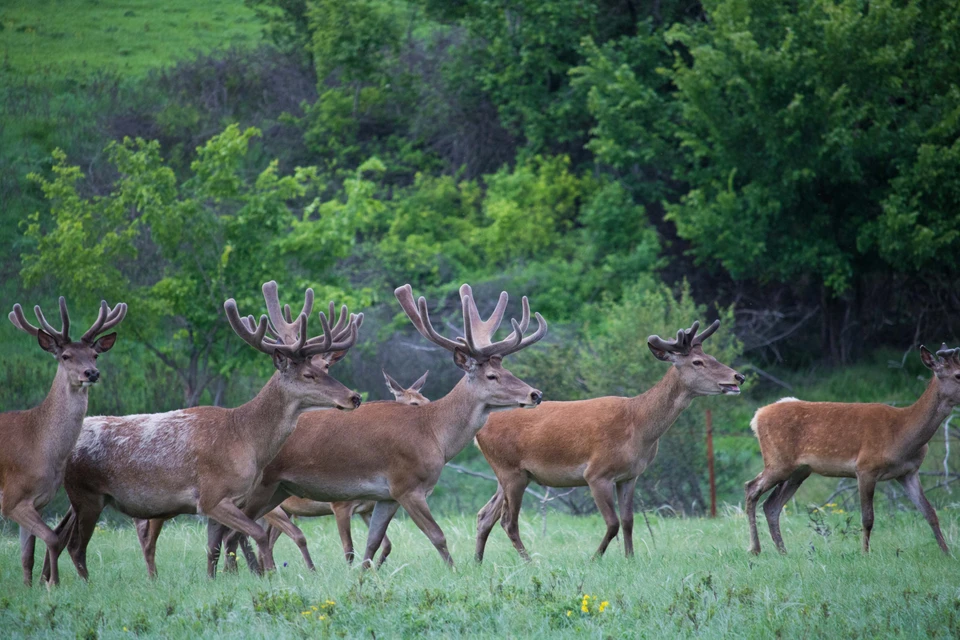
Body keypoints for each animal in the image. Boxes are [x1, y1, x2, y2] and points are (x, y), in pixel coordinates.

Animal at [0, 296, 126, 584]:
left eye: (94, 354)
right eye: (66, 356)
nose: (92, 373)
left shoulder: (37, 501)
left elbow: (27, 557)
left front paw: (31, 588)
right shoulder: (11, 497)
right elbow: (53, 538)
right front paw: (53, 584)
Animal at [41, 280, 366, 580]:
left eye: (326, 368)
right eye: (309, 374)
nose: (354, 397)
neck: (245, 438)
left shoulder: (227, 501)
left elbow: (213, 549)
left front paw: (213, 580)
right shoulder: (212, 495)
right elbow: (256, 535)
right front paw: (268, 575)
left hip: (81, 500)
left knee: (61, 535)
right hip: (86, 494)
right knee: (76, 546)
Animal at [205, 282, 544, 568]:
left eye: (507, 369)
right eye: (492, 376)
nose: (535, 393)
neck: (434, 435)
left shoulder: (385, 496)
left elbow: (373, 544)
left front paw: (362, 581)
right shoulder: (406, 484)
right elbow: (437, 536)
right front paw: (455, 573)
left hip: (277, 490)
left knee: (230, 532)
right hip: (255, 487)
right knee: (231, 532)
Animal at [476, 318, 748, 560]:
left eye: (713, 357)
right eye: (697, 361)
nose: (739, 377)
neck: (638, 428)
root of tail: (479, 429)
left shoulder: (629, 476)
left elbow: (628, 520)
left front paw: (630, 558)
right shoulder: (597, 473)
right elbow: (613, 523)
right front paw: (594, 558)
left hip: (512, 474)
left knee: (484, 515)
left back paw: (478, 562)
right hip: (510, 471)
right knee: (508, 521)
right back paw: (529, 561)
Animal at [748, 344, 960, 556]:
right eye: (958, 375)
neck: (902, 435)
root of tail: (757, 416)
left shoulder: (908, 472)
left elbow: (929, 512)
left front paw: (946, 552)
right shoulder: (866, 467)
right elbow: (868, 518)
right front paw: (865, 553)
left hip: (799, 471)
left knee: (771, 505)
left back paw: (782, 551)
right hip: (778, 461)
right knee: (751, 488)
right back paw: (755, 549)